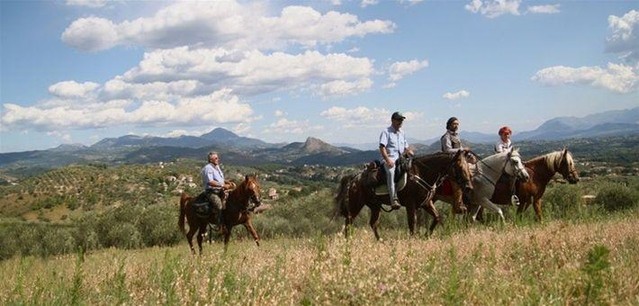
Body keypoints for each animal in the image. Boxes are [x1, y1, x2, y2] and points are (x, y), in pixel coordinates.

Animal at [336, 149, 476, 240]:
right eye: (459, 166)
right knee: (348, 222)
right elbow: (412, 222)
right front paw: (413, 239)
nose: (469, 186)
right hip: (356, 205)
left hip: (375, 206)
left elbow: (437, 217)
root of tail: (354, 178)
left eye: (468, 166)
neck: (421, 173)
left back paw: (380, 241)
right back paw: (348, 243)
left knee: (373, 223)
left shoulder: (426, 203)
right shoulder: (410, 204)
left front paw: (426, 235)